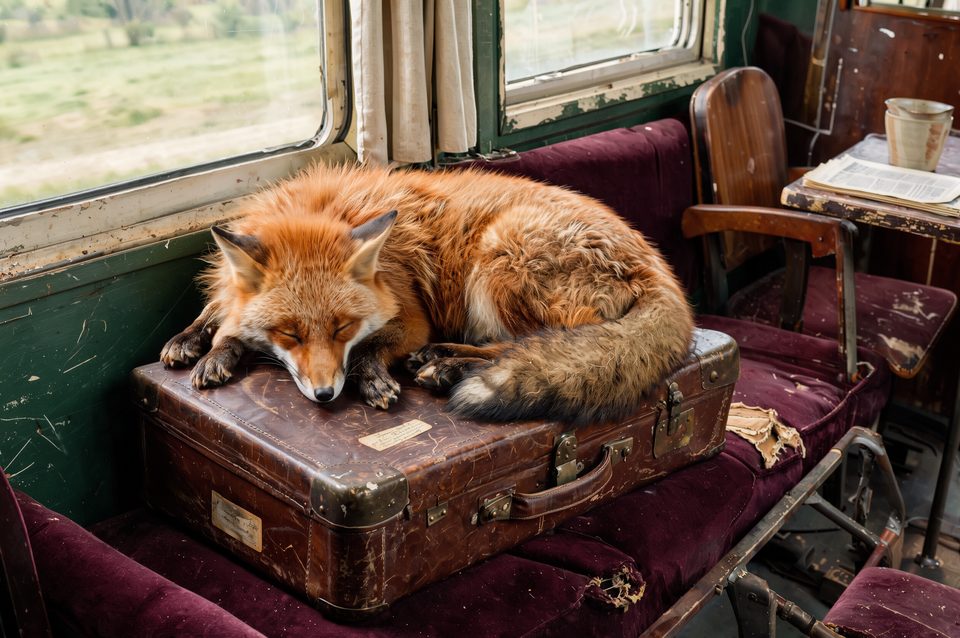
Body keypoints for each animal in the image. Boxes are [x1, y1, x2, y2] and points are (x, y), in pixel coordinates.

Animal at [160, 163, 694, 424]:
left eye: (343, 327)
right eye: (289, 334)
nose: (326, 394)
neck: (328, 210)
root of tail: (659, 268)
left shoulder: (412, 316)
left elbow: (372, 349)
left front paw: (373, 377)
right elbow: (220, 314)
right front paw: (203, 345)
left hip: (498, 260)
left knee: (533, 345)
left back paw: (444, 365)